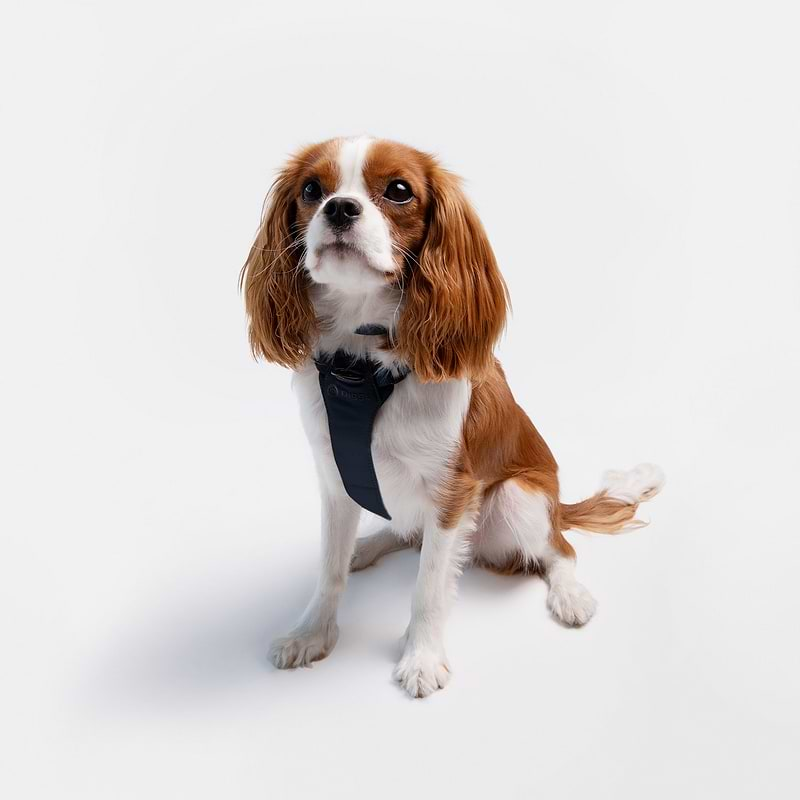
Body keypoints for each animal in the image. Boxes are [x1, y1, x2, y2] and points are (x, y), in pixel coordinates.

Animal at [242, 139, 664, 700]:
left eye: (399, 190)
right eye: (312, 190)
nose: (339, 208)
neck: (362, 362)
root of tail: (558, 507)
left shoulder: (453, 491)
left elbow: (429, 588)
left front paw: (422, 658)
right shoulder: (336, 478)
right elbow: (329, 570)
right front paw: (312, 633)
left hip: (518, 498)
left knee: (560, 550)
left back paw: (570, 594)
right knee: (405, 533)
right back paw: (365, 546)